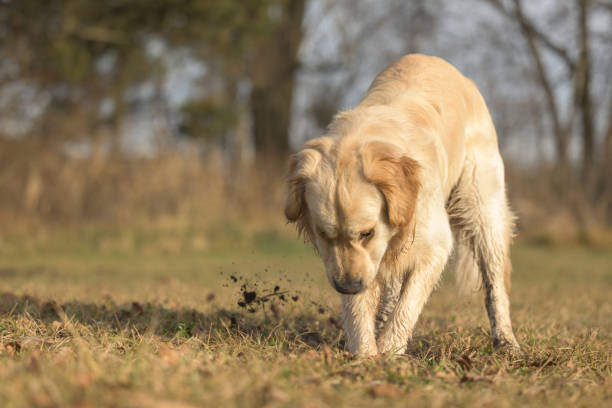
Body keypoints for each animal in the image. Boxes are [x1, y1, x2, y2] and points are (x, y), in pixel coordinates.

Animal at [284, 55, 520, 356]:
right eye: (324, 235)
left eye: (366, 233)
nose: (347, 286)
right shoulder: (360, 261)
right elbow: (360, 309)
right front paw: (366, 354)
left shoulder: (433, 246)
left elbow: (409, 303)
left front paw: (389, 350)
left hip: (481, 207)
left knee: (494, 283)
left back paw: (506, 341)